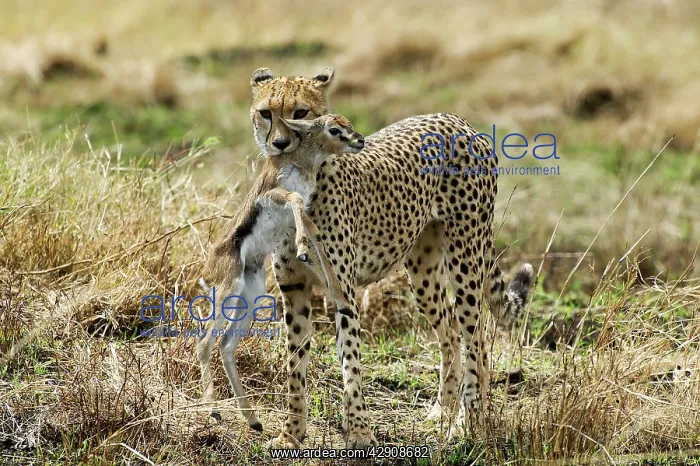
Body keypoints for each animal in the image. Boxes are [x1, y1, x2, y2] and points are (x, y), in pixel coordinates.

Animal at [247, 66, 533, 448]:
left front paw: (359, 432)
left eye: (301, 112)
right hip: (423, 270)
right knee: (451, 333)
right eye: (266, 113)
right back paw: (442, 412)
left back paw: (468, 424)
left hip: (466, 257)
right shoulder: (293, 289)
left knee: (476, 338)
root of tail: (457, 119)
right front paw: (290, 434)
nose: (280, 144)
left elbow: (351, 361)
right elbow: (295, 364)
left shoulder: (343, 291)